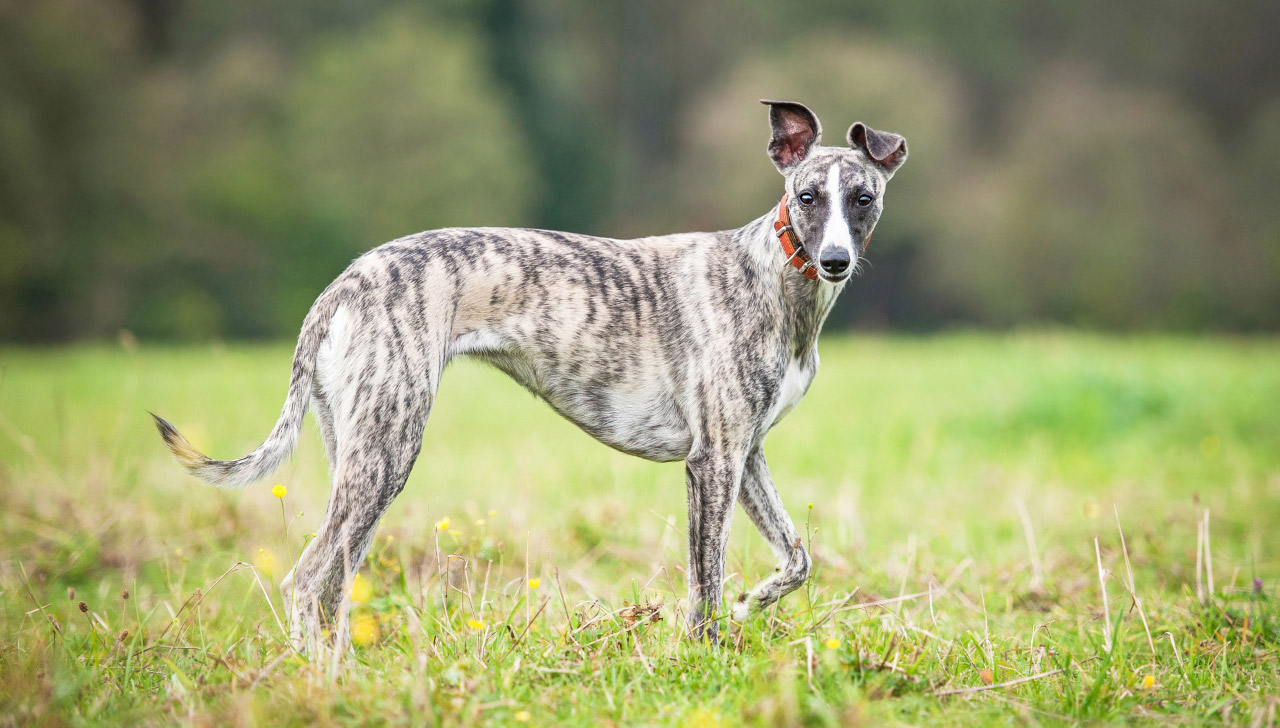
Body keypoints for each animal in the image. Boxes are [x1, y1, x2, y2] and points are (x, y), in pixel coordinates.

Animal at [152, 101, 911, 647]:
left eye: (862, 197)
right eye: (807, 196)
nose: (836, 261)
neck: (773, 278)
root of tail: (341, 287)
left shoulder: (746, 454)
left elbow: (797, 558)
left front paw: (756, 602)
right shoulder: (713, 461)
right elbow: (705, 586)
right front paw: (706, 658)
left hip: (358, 452)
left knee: (335, 583)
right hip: (387, 451)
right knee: (308, 581)